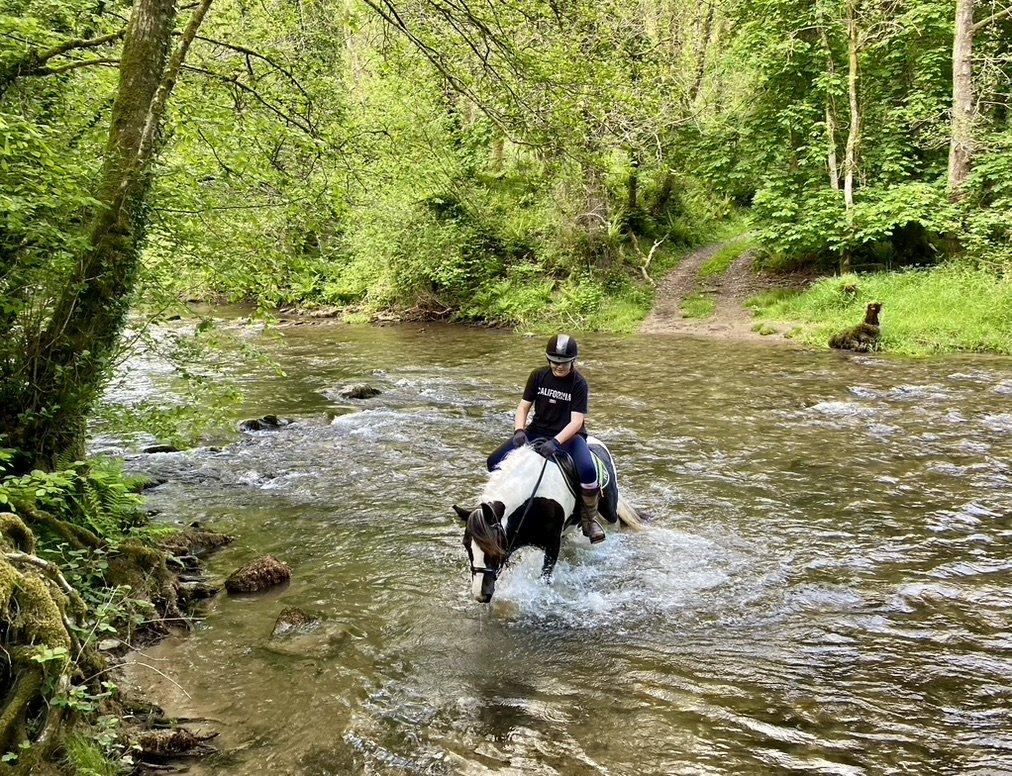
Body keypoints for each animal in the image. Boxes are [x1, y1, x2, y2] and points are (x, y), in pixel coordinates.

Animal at [455, 441, 643, 602]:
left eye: (494, 547)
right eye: (466, 545)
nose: (480, 594)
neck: (532, 499)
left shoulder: (552, 544)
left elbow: (544, 578)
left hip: (609, 511)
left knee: (614, 522)